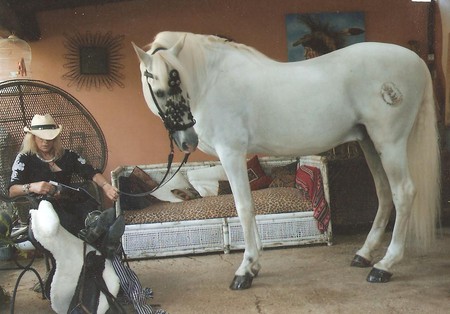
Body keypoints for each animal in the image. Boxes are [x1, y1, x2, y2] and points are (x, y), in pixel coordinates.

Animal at [132, 31, 442, 290]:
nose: (188, 140)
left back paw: (384, 266)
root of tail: (416, 60)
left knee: (403, 193)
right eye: (159, 90)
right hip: (369, 143)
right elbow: (250, 208)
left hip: (390, 143)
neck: (212, 80)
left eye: (177, 81)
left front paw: (245, 270)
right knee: (384, 192)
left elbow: (244, 208)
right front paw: (255, 265)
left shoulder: (231, 153)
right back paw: (364, 254)